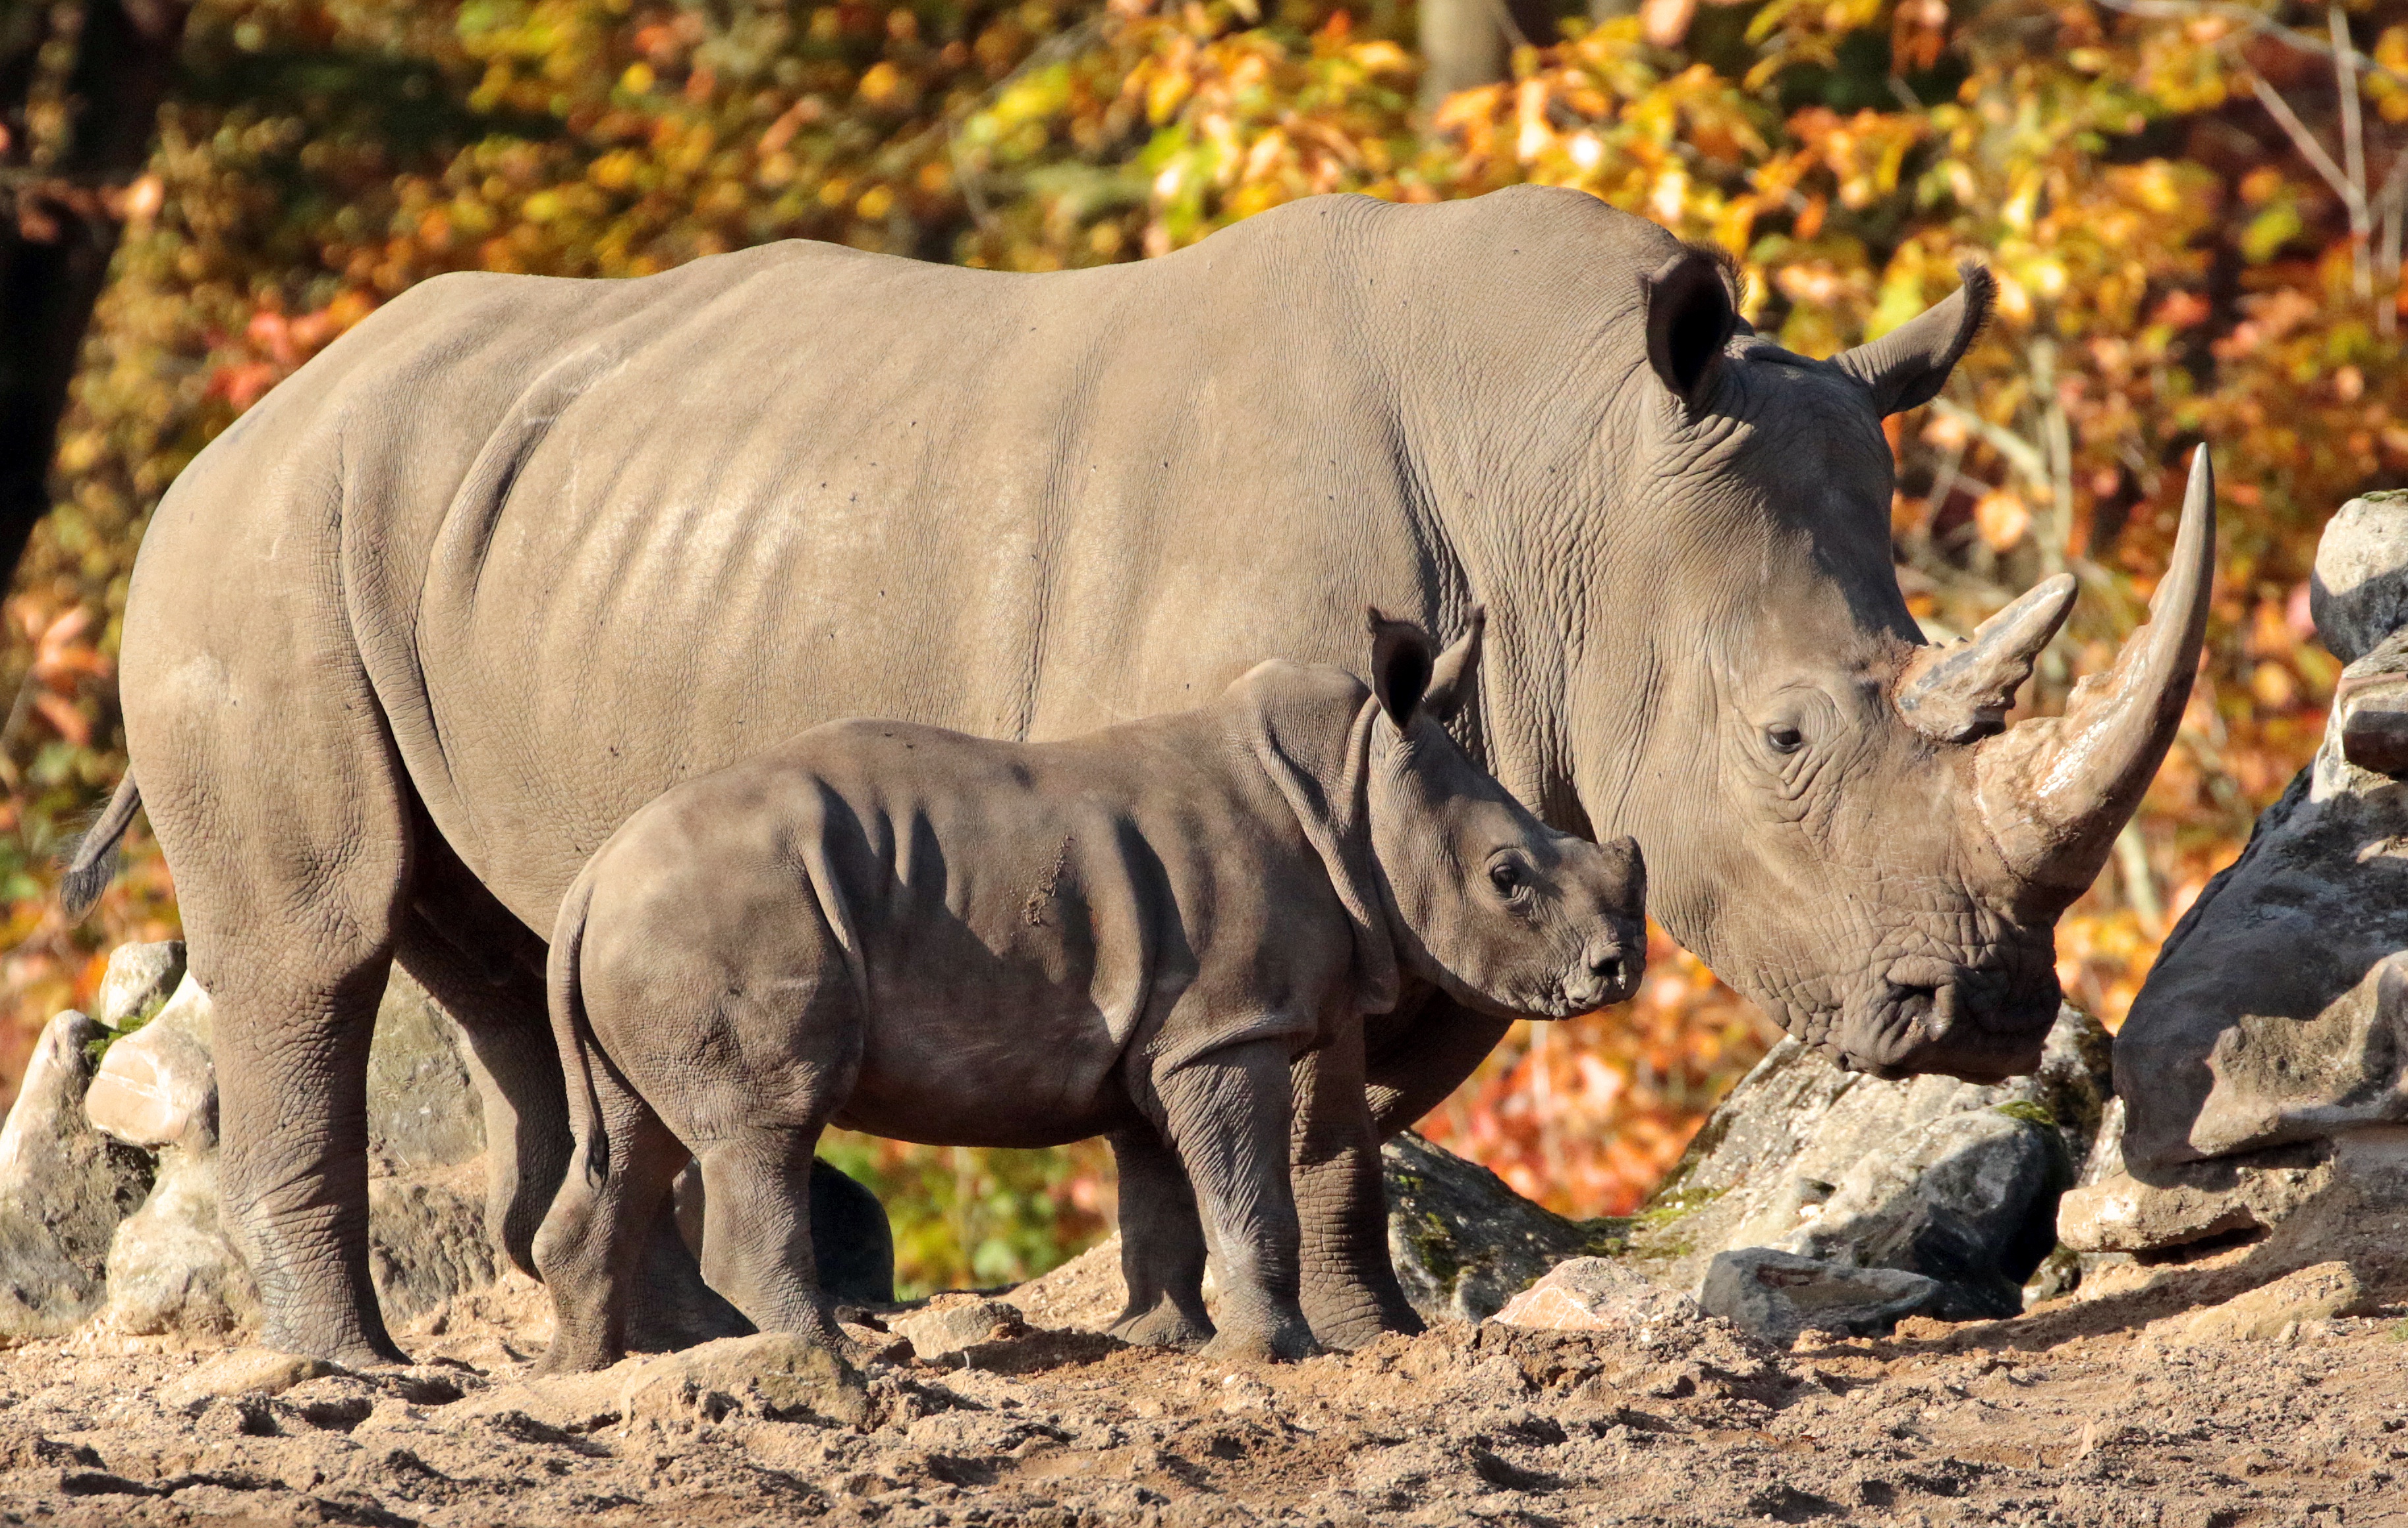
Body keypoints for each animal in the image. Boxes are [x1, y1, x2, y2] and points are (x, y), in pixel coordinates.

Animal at [534, 613, 1647, 1376]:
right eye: (1508, 879)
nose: (1617, 969)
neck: (1351, 793)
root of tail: (587, 883)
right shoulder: (1224, 1032)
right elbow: (1249, 1195)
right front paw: (1280, 1354)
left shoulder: (1168, 1037)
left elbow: (1161, 1194)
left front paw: (1165, 1340)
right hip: (724, 917)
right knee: (764, 1132)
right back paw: (841, 1371)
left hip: (658, 930)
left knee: (633, 1138)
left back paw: (594, 1375)